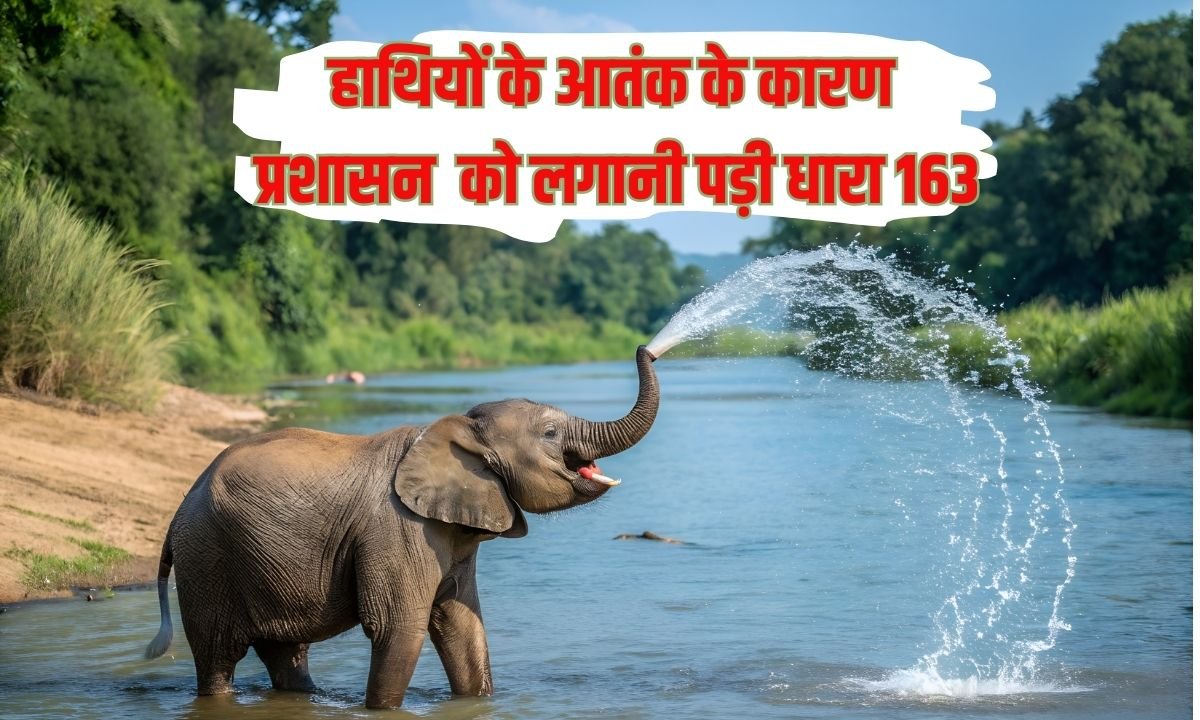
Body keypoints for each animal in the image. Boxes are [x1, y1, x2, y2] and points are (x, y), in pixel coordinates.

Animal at [145, 346, 659, 709]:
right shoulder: (400, 530)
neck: (456, 428)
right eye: (550, 435)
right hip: (209, 558)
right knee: (218, 657)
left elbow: (463, 627)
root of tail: (179, 511)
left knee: (285, 652)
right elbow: (399, 629)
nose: (648, 349)